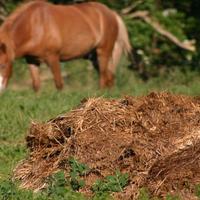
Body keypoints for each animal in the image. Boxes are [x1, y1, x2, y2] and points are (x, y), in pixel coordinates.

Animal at [0, 0, 131, 91]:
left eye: (3, 65)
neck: (34, 25)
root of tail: (112, 13)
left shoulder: (53, 57)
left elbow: (59, 84)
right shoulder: (32, 60)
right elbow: (36, 85)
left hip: (103, 51)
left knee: (103, 78)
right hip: (94, 57)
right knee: (110, 77)